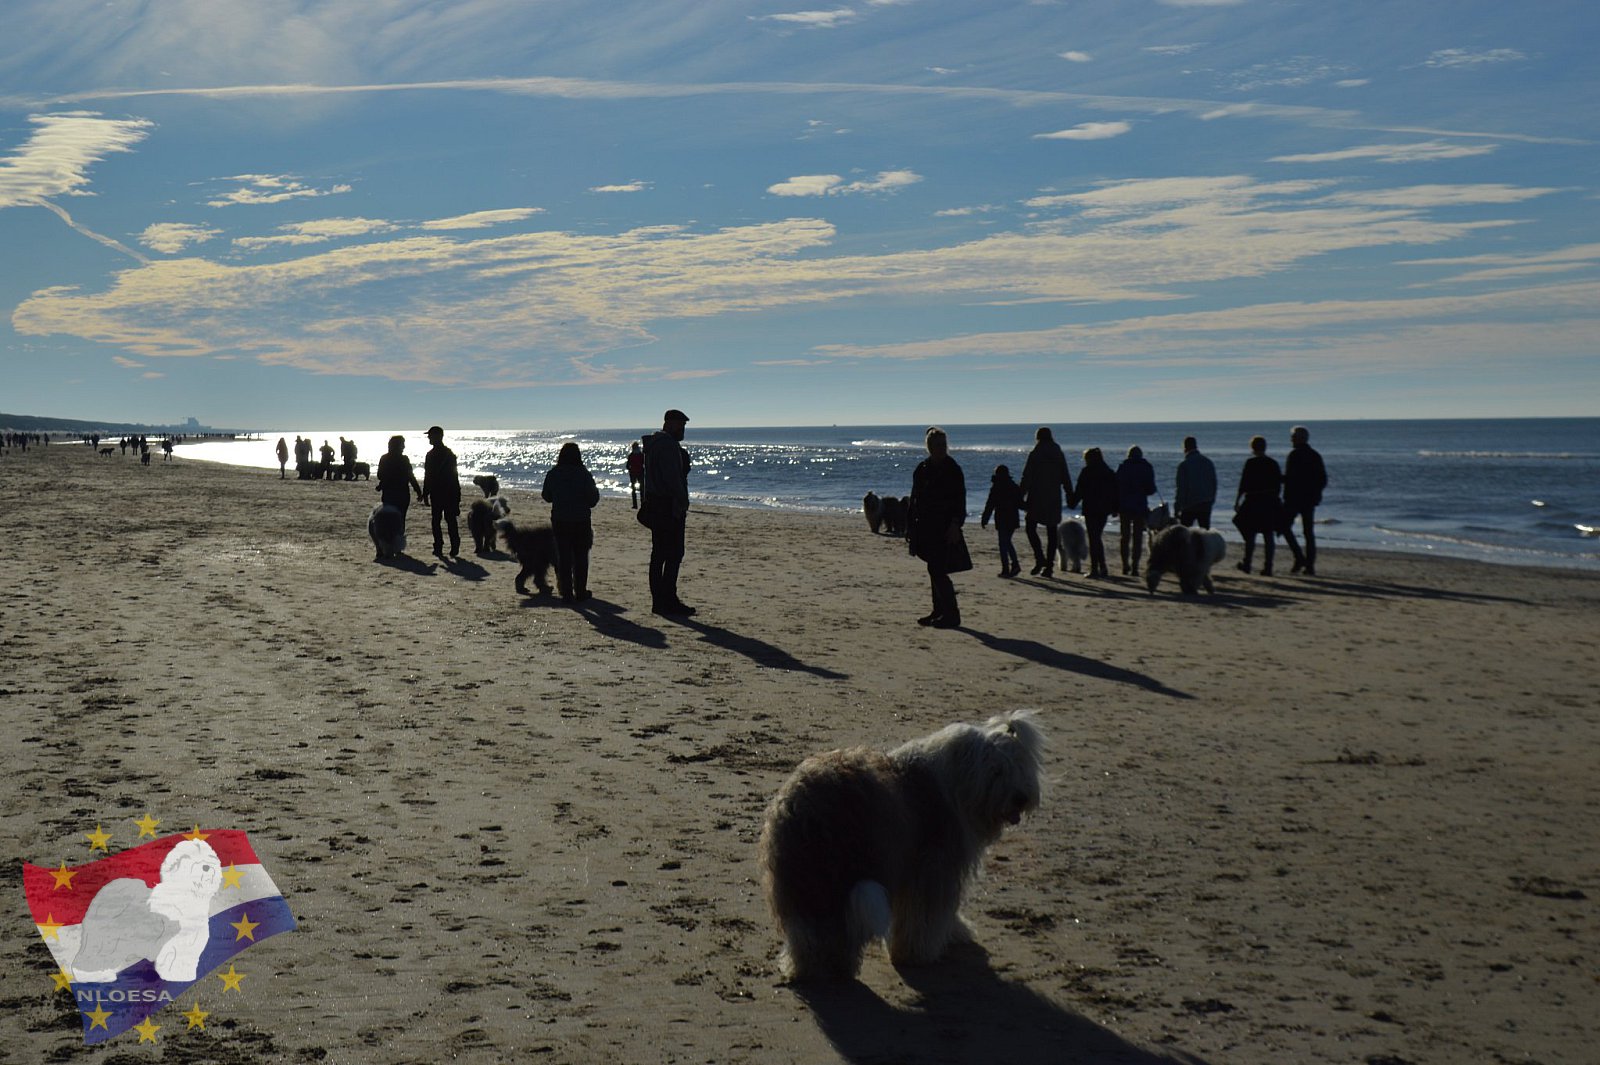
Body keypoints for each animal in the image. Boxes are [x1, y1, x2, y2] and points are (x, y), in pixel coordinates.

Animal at [758, 703, 1043, 978]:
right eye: (996, 771)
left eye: (1020, 767)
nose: (1021, 798)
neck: (958, 787)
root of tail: (805, 806)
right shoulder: (934, 865)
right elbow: (927, 916)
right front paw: (918, 952)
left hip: (805, 877)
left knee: (811, 929)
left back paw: (810, 967)